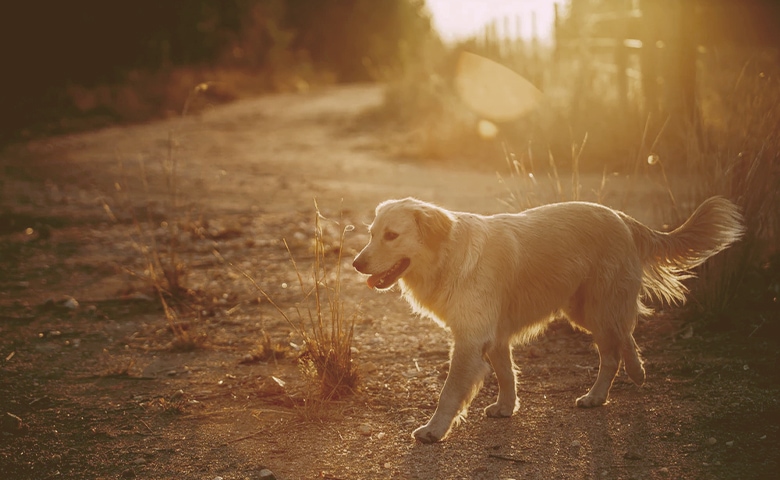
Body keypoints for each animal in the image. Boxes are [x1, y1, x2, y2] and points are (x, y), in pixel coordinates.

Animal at [352, 196, 744, 442]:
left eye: (391, 235)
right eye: (371, 234)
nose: (356, 264)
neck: (450, 255)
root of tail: (621, 218)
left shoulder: (469, 340)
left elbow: (449, 393)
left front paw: (434, 431)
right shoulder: (494, 336)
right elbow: (507, 374)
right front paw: (507, 407)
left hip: (598, 308)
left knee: (614, 348)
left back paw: (605, 390)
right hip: (583, 310)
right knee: (625, 335)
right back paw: (630, 376)